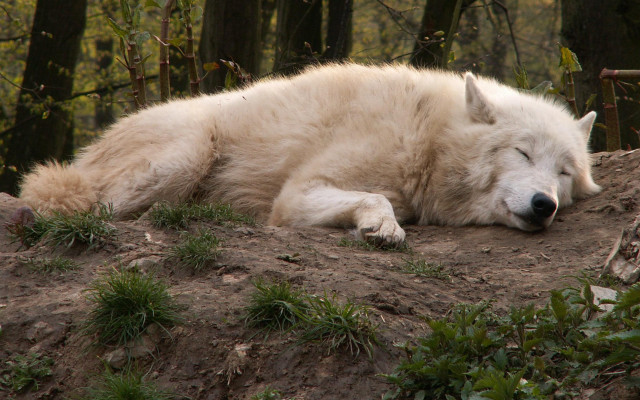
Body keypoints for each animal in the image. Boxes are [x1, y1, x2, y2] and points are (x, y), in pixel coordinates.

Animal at [19, 64, 600, 246]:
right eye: (522, 152)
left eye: (563, 173)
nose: (545, 205)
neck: (426, 136)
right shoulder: (297, 194)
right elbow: (376, 199)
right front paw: (383, 227)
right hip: (186, 155)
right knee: (81, 209)